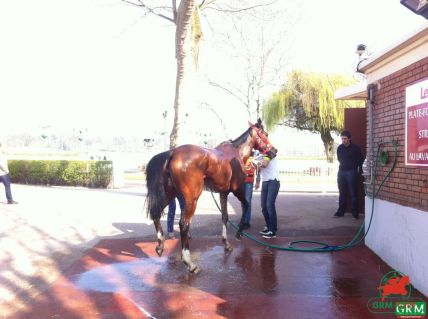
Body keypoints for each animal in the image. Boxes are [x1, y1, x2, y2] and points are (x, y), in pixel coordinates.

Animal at [145, 119, 278, 274]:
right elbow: (246, 205)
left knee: (156, 213)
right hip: (191, 200)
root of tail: (171, 153)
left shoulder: (223, 193)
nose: (274, 151)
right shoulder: (238, 189)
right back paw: (189, 263)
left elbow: (225, 216)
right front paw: (239, 233)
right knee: (184, 224)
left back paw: (160, 245)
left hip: (170, 194)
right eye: (265, 134)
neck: (237, 153)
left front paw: (226, 243)